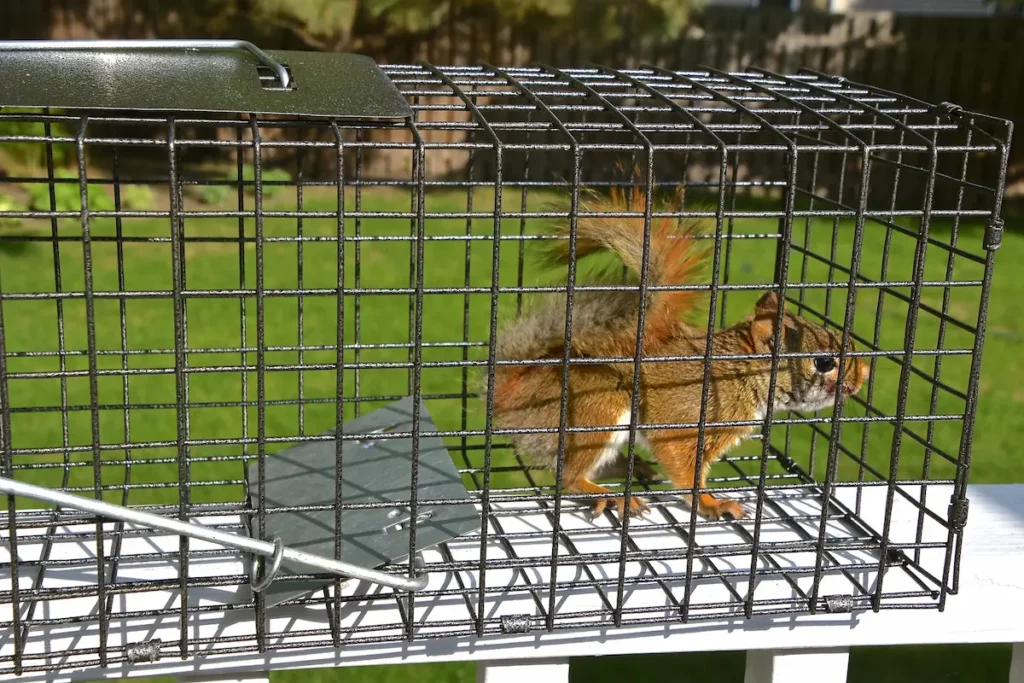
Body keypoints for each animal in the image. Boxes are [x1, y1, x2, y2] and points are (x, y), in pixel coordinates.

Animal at [487, 184, 872, 520]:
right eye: (824, 361)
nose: (865, 376)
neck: (739, 374)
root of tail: (511, 398)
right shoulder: (686, 422)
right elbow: (686, 472)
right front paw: (711, 503)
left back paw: (634, 468)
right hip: (597, 410)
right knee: (568, 476)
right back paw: (610, 495)